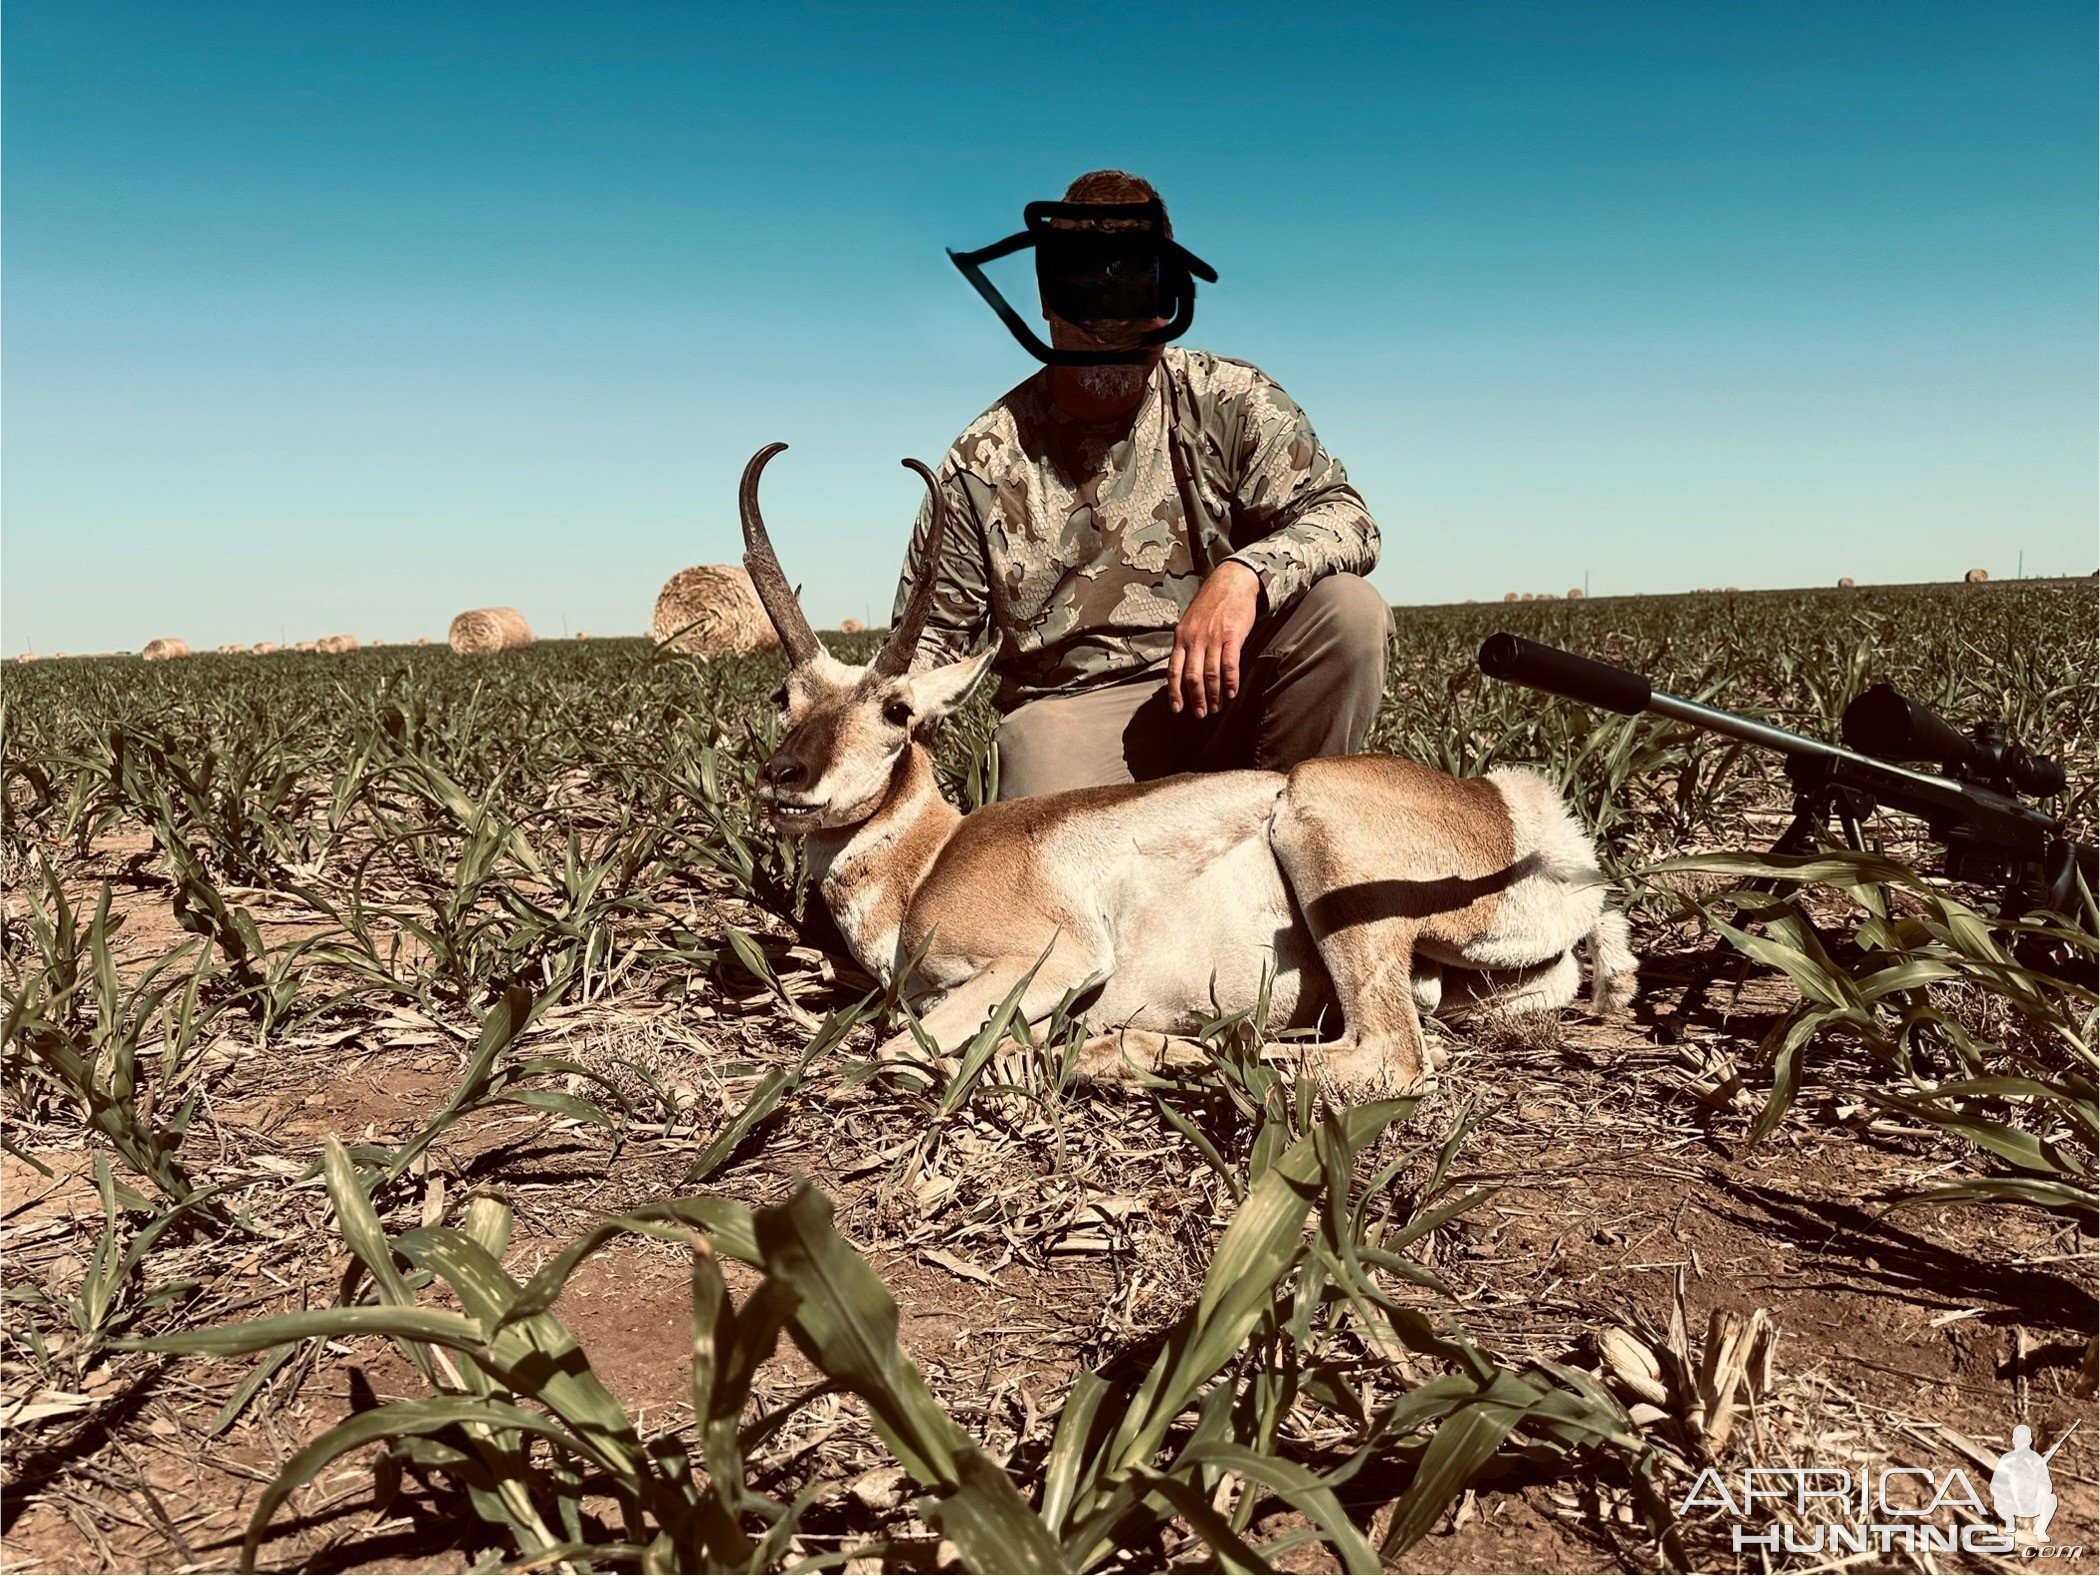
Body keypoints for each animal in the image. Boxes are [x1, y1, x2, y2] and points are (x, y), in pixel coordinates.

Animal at [739, 439, 1637, 1092]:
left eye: (897, 711)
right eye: (785, 694)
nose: (787, 780)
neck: (933, 859)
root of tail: (1512, 810)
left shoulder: (1054, 957)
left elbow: (897, 1046)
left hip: (1320, 833)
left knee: (1389, 1055)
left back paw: (1134, 1052)